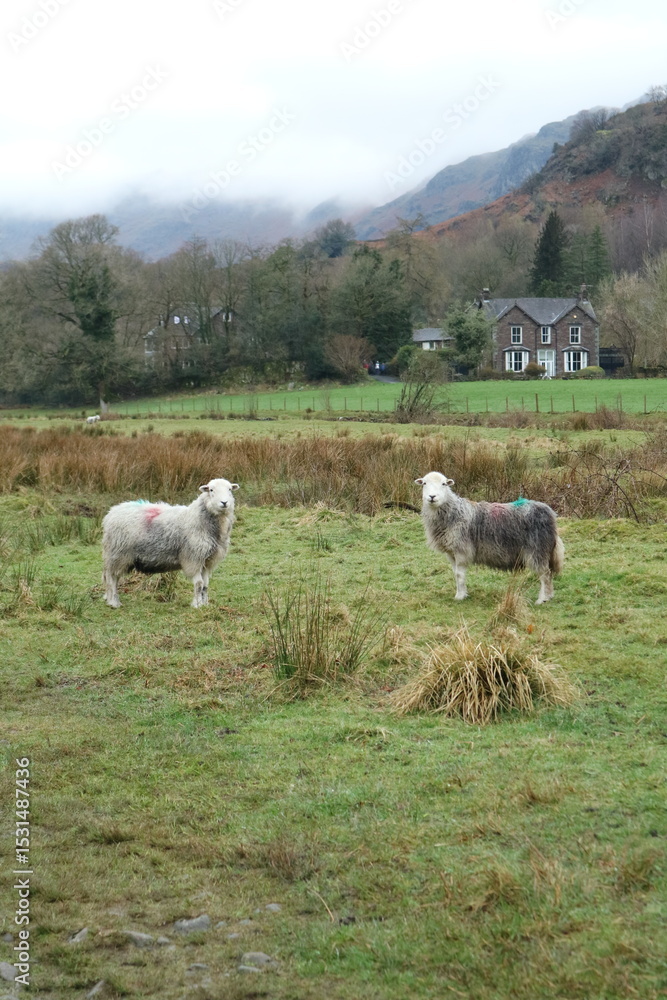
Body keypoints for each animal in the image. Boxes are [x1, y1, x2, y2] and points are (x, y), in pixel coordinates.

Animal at [102, 478, 239, 608]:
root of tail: (111, 513)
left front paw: (205, 604)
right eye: (211, 490)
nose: (224, 503)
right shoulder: (193, 558)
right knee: (111, 578)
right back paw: (114, 602)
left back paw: (110, 599)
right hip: (118, 554)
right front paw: (197, 605)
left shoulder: (207, 560)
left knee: (113, 577)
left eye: (230, 489)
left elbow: (205, 585)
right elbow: (199, 584)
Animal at [414, 471, 564, 604]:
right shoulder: (451, 553)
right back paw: (549, 596)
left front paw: (460, 597)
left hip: (537, 549)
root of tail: (550, 512)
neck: (453, 512)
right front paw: (461, 593)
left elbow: (460, 575)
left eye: (444, 484)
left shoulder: (462, 550)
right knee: (548, 574)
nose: (432, 496)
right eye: (424, 483)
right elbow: (456, 574)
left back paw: (542, 599)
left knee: (544, 574)